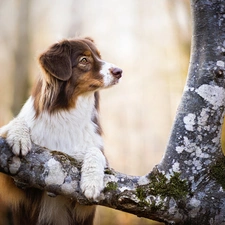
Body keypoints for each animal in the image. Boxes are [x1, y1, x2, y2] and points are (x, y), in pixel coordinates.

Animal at [0, 37, 122, 224]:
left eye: (99, 56)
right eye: (84, 60)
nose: (119, 71)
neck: (67, 114)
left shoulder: (83, 207)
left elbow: (95, 152)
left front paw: (92, 182)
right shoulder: (14, 187)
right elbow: (14, 123)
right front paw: (19, 137)